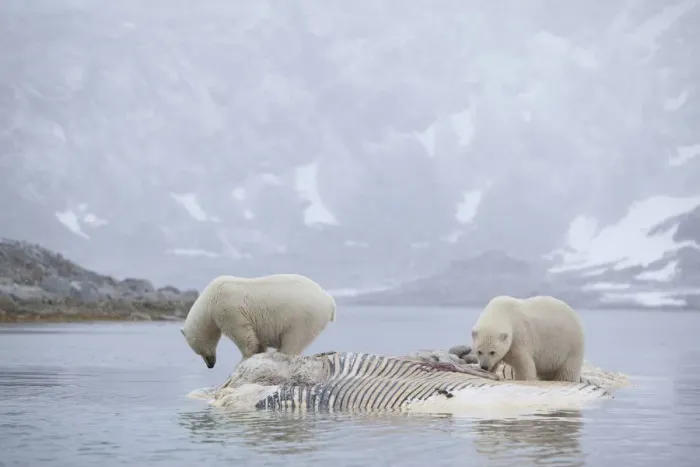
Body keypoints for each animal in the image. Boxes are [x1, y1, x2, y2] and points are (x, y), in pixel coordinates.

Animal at [180, 273, 336, 370]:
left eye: (198, 351)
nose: (210, 365)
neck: (209, 301)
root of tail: (329, 300)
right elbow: (258, 339)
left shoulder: (227, 308)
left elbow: (242, 334)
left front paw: (244, 359)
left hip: (304, 316)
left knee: (294, 339)